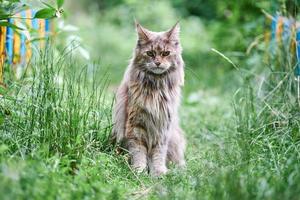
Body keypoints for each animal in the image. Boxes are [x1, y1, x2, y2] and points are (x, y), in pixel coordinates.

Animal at [110, 21, 185, 176]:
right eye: (150, 53)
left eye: (166, 53)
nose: (157, 62)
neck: (156, 88)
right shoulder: (135, 126)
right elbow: (138, 152)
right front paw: (139, 171)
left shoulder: (162, 127)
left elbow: (158, 153)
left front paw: (158, 172)